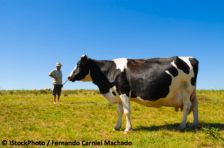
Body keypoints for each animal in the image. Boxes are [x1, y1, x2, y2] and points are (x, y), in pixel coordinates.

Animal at [67, 55, 199, 133]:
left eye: (79, 65)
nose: (69, 77)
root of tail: (191, 58)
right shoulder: (117, 94)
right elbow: (119, 111)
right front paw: (117, 127)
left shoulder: (124, 92)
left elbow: (126, 111)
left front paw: (127, 129)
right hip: (192, 92)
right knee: (195, 105)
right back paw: (195, 124)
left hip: (186, 89)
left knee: (187, 106)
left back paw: (181, 126)